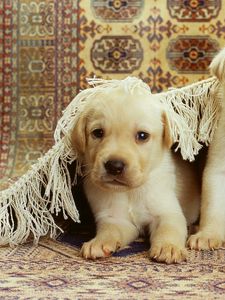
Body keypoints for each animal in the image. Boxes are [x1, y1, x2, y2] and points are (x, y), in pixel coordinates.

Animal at [71, 78, 199, 264]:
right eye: (98, 133)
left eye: (142, 136)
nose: (114, 166)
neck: (131, 191)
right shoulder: (116, 219)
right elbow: (109, 231)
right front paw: (99, 242)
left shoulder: (167, 212)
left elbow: (168, 229)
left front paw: (168, 247)